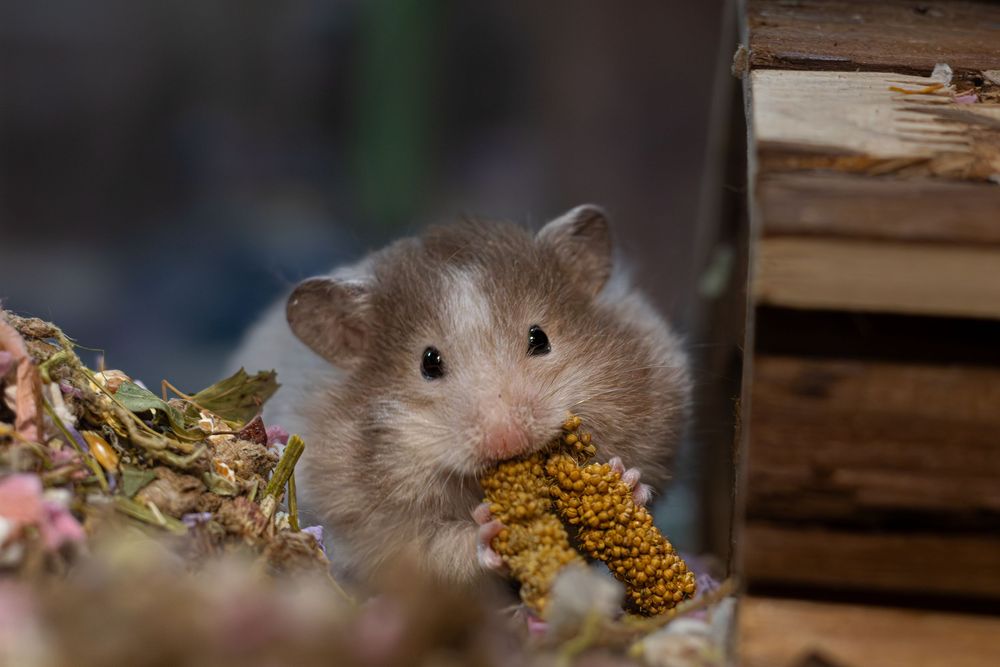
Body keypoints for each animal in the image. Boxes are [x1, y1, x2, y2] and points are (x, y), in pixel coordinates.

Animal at [230, 205, 691, 589]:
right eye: (428, 363)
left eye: (539, 338)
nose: (507, 441)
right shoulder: (377, 531)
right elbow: (443, 549)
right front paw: (489, 532)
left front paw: (625, 480)